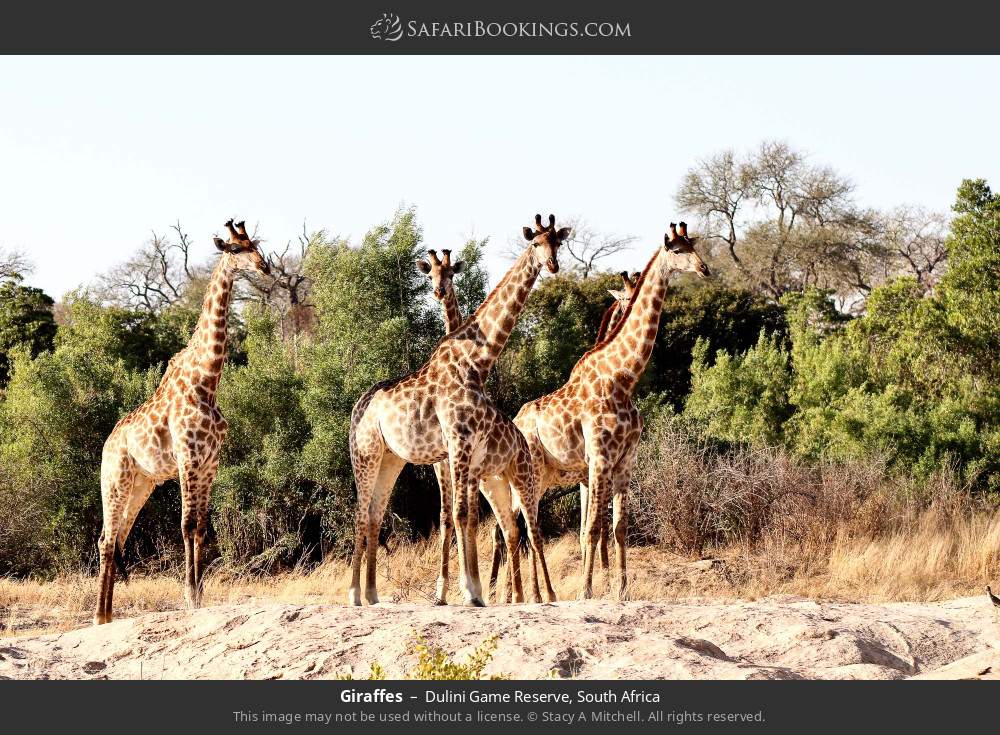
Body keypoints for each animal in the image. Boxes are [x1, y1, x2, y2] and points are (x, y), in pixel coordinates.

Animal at [93, 219, 271, 625]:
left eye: (254, 245)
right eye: (235, 250)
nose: (266, 268)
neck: (207, 381)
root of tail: (107, 446)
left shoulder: (209, 463)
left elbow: (201, 527)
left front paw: (200, 594)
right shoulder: (189, 459)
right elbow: (187, 525)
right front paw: (190, 596)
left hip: (142, 484)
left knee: (117, 537)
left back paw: (108, 616)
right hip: (116, 479)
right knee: (106, 538)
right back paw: (98, 616)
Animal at [348, 214, 569, 607]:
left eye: (557, 242)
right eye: (535, 243)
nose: (553, 265)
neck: (476, 362)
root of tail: (357, 409)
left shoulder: (466, 450)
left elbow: (465, 516)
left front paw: (474, 590)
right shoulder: (456, 444)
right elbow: (459, 514)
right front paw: (468, 591)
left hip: (392, 458)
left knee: (374, 514)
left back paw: (373, 594)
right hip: (366, 453)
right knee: (360, 514)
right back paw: (355, 594)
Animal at [483, 222, 709, 601]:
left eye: (693, 245)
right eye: (677, 250)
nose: (704, 269)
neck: (623, 378)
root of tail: (515, 421)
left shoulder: (625, 461)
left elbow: (617, 527)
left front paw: (621, 590)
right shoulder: (599, 460)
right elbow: (589, 529)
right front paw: (587, 591)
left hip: (543, 478)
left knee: (518, 525)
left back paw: (522, 594)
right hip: (530, 474)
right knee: (519, 526)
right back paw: (523, 595)